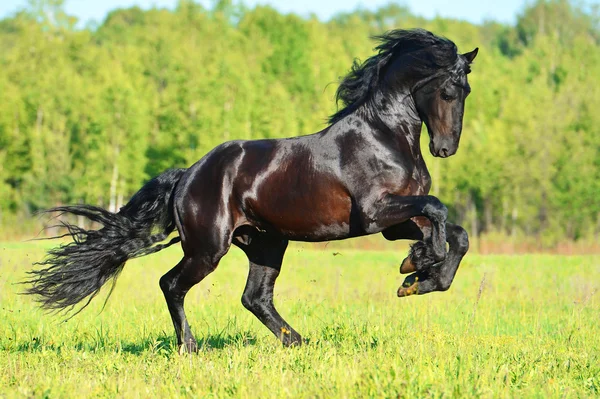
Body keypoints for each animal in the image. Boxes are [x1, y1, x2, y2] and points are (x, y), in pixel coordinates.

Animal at [25, 28, 478, 354]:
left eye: (466, 92)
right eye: (447, 91)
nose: (445, 148)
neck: (384, 136)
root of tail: (188, 175)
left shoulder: (395, 221)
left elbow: (456, 234)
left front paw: (419, 276)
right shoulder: (374, 213)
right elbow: (438, 210)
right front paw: (418, 264)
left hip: (265, 244)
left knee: (254, 297)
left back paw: (296, 341)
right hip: (208, 249)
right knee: (172, 284)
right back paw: (190, 347)